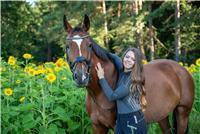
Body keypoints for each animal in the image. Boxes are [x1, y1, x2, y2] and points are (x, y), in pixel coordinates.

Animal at [62, 14, 194, 133]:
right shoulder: (97, 126)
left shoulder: (117, 126)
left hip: (182, 113)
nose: (81, 77)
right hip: (162, 116)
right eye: (67, 46)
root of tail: (182, 70)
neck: (98, 93)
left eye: (89, 45)